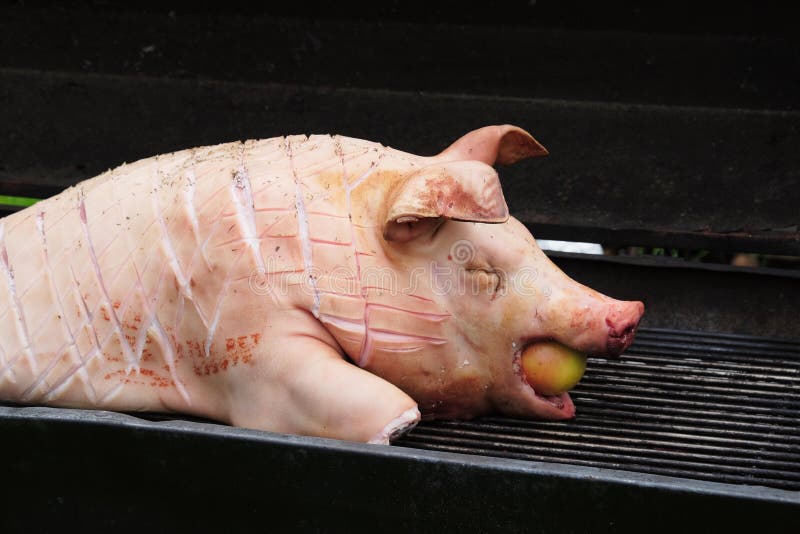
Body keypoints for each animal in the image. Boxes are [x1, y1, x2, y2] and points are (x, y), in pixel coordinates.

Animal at [0, 125, 644, 444]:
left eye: (533, 240)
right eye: (480, 271)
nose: (629, 313)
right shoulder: (242, 338)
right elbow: (385, 403)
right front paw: (402, 426)